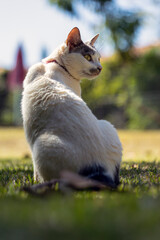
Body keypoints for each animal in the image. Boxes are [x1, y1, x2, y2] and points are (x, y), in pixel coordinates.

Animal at [21, 27, 122, 187]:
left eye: (99, 58)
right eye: (87, 57)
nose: (100, 68)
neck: (57, 66)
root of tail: (98, 168)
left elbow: (35, 172)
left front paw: (35, 180)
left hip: (41, 146)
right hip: (108, 125)